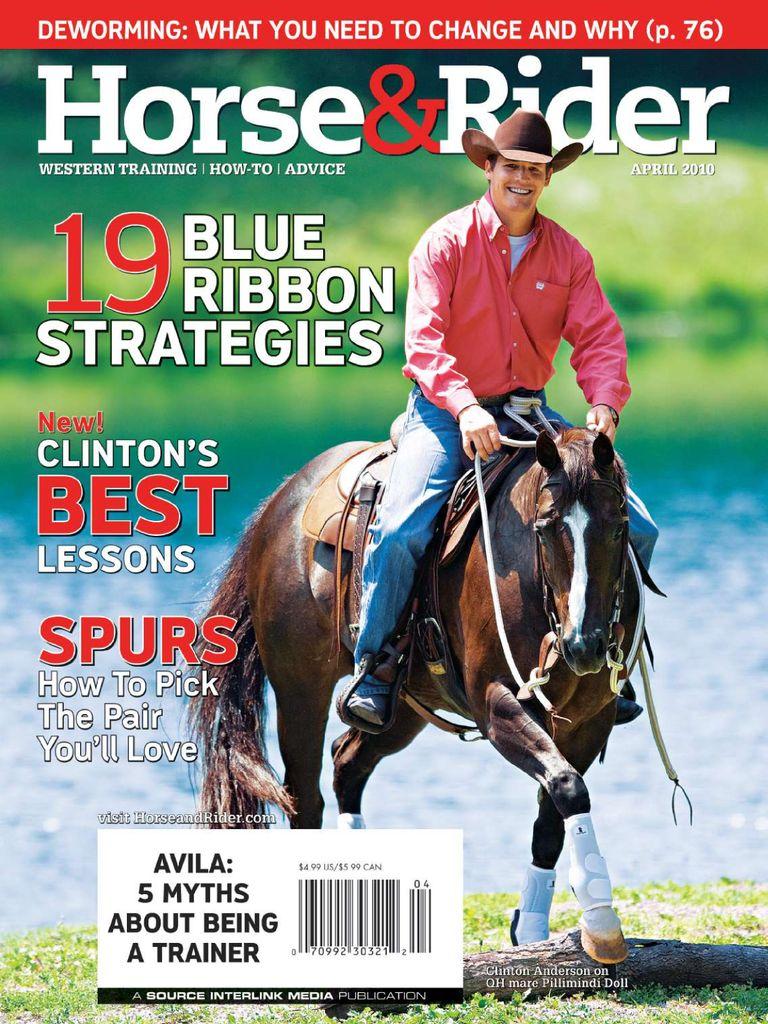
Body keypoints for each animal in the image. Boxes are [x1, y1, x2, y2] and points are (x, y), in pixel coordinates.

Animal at [188, 424, 639, 964]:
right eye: (547, 527)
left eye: (619, 525)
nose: (583, 645)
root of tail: (280, 503)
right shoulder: (497, 705)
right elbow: (567, 786)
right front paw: (603, 922)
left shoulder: (592, 719)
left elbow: (556, 803)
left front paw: (532, 928)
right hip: (300, 692)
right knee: (304, 797)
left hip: (402, 708)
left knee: (349, 761)